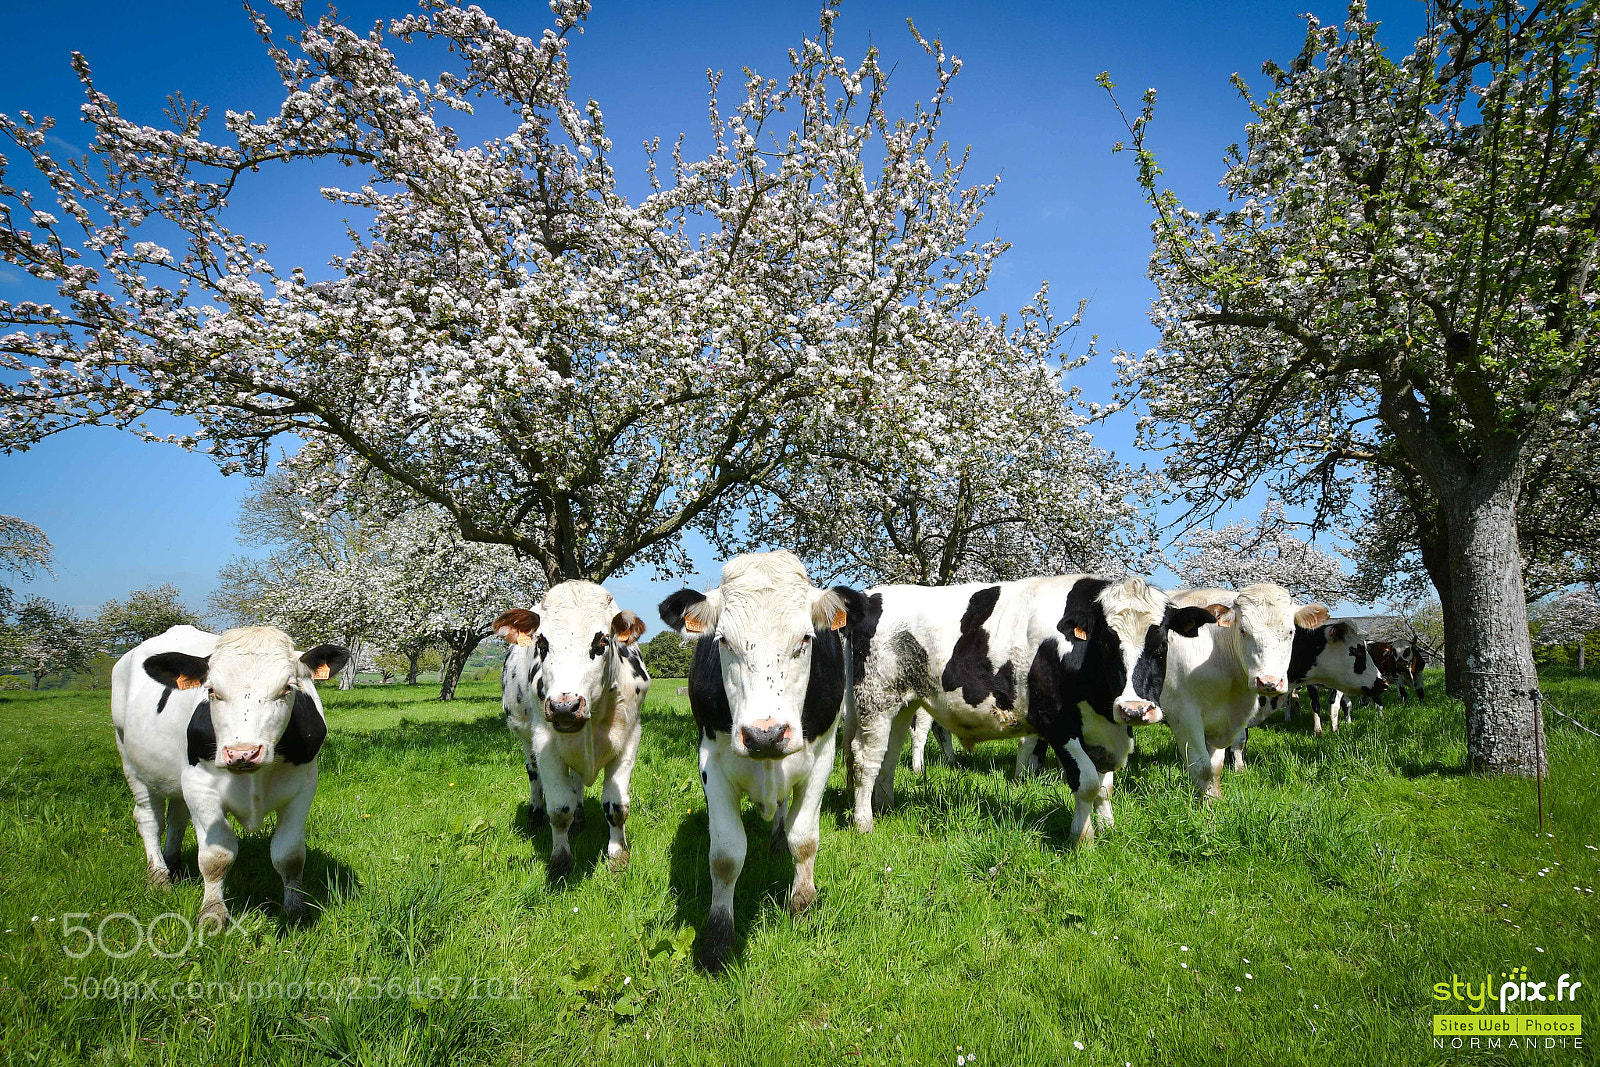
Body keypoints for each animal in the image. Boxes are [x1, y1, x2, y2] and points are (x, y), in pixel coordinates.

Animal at [111, 625, 349, 930]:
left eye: (288, 687)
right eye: (211, 690)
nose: (242, 753)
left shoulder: (303, 787)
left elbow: (290, 855)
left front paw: (296, 909)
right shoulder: (199, 787)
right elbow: (216, 856)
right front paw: (213, 913)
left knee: (177, 816)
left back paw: (173, 864)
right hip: (131, 761)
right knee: (149, 818)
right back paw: (159, 876)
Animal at [494, 581, 650, 879]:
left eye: (603, 640)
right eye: (542, 642)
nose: (564, 707)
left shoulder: (629, 739)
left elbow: (616, 806)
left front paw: (617, 856)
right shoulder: (545, 744)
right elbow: (558, 809)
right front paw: (560, 861)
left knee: (576, 781)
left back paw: (579, 817)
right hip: (525, 738)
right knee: (534, 776)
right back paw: (535, 814)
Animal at [657, 551, 861, 972]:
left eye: (806, 638)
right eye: (723, 640)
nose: (765, 734)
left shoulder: (822, 757)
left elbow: (805, 839)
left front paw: (802, 906)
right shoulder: (711, 762)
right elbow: (725, 856)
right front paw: (718, 940)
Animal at [843, 576, 1217, 845]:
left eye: (1161, 645)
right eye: (1107, 643)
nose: (1135, 710)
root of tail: (869, 597)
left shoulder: (1106, 728)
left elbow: (1104, 784)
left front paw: (1108, 828)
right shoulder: (1055, 723)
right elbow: (1086, 781)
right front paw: (1082, 838)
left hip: (903, 703)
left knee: (889, 754)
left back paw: (885, 806)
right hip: (874, 700)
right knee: (865, 760)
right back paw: (864, 822)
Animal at [1162, 586, 1327, 801]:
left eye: (1290, 631)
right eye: (1243, 630)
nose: (1268, 682)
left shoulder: (1220, 720)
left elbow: (1216, 766)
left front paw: (1216, 799)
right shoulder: (1183, 714)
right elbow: (1202, 767)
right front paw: (1208, 806)